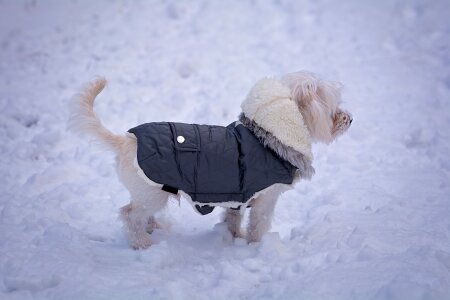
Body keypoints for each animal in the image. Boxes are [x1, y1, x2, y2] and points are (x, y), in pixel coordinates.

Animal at [71, 71, 352, 248]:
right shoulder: (266, 199)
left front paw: (235, 238)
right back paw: (142, 243)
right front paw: (254, 247)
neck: (269, 137)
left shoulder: (238, 197)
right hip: (152, 193)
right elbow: (258, 225)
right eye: (332, 110)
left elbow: (233, 220)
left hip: (149, 194)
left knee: (140, 215)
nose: (350, 119)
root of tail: (127, 140)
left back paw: (154, 228)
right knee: (129, 215)